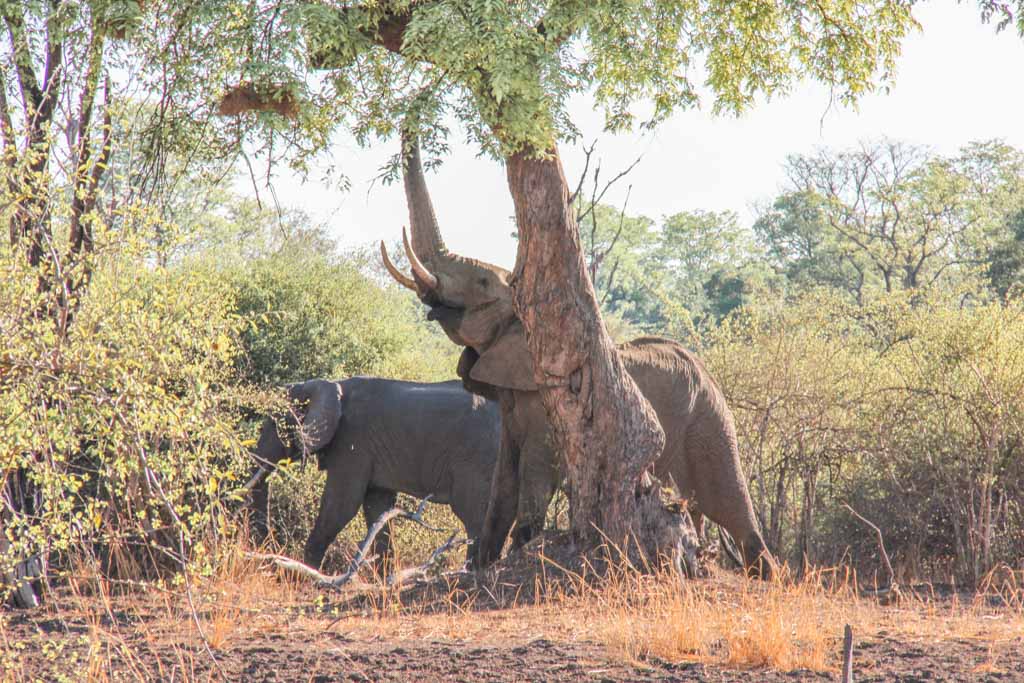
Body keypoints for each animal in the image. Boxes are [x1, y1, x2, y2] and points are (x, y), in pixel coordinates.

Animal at [248, 377, 501, 571]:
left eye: (276, 424)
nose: (266, 548)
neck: (328, 384)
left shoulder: (352, 444)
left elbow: (341, 505)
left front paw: (307, 575)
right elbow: (377, 507)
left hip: (475, 459)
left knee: (472, 515)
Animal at [380, 136, 775, 579]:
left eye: (482, 283)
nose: (433, 306)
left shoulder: (544, 393)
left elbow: (536, 474)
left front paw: (522, 552)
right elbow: (504, 480)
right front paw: (482, 566)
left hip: (708, 422)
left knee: (732, 506)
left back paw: (767, 574)